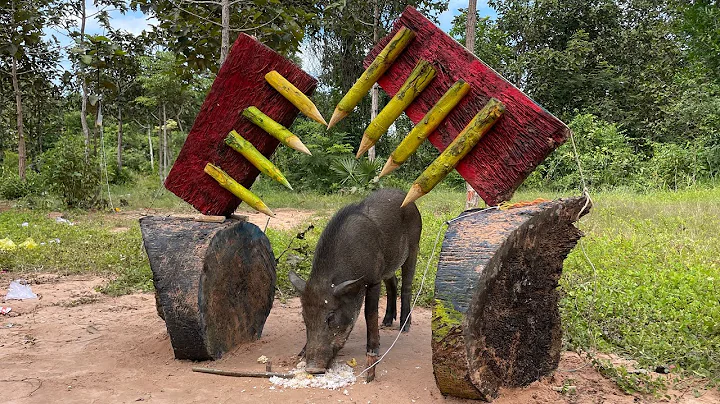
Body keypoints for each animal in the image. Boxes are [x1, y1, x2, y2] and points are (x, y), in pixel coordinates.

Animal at [288, 188, 422, 372]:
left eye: (331, 317)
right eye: (304, 316)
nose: (313, 369)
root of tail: (405, 195)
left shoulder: (373, 280)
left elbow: (369, 313)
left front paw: (373, 350)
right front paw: (301, 353)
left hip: (414, 246)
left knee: (406, 286)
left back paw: (404, 327)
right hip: (388, 264)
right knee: (393, 282)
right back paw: (386, 323)